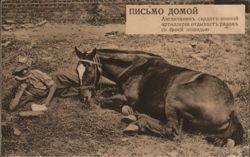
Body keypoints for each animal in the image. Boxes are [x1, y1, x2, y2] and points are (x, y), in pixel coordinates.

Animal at [75, 46, 243, 146]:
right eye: (77, 70)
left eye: (89, 70)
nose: (83, 97)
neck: (134, 66)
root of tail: (230, 110)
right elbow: (106, 92)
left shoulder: (129, 98)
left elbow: (104, 101)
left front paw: (127, 109)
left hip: (173, 97)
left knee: (171, 130)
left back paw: (137, 122)